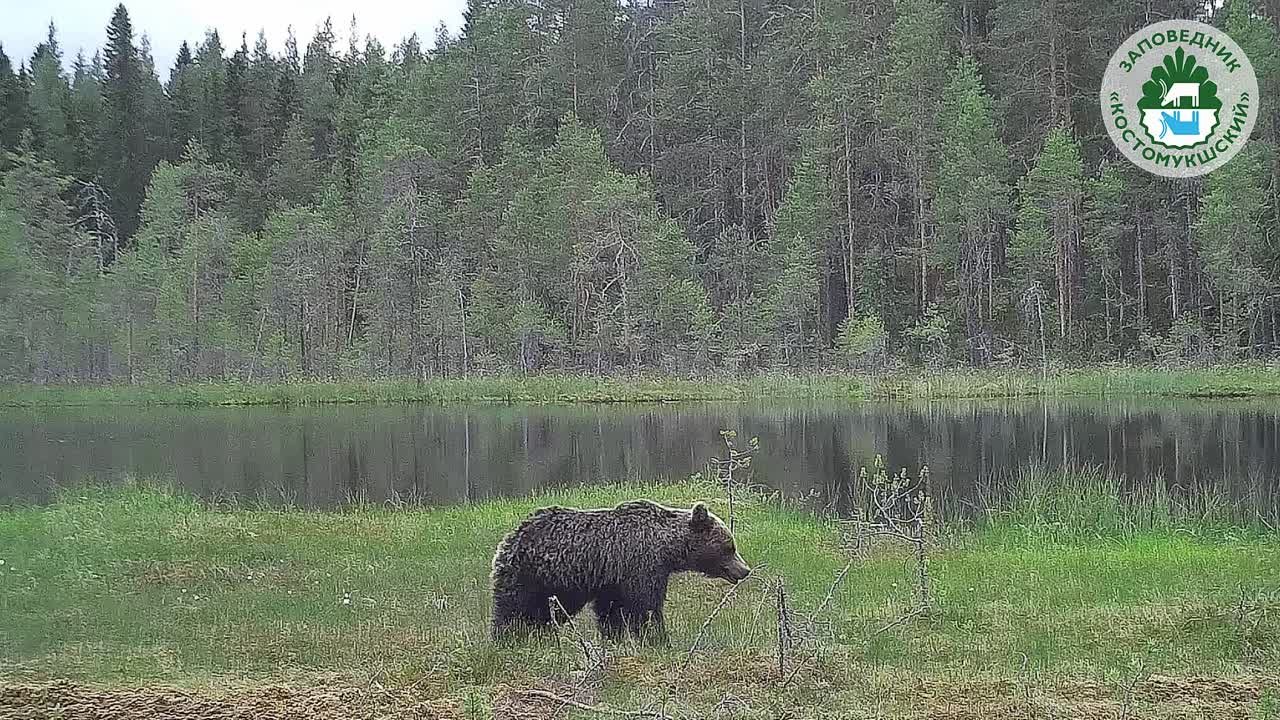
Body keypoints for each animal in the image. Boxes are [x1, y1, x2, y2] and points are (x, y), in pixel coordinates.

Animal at [488, 499, 747, 638]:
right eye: (730, 546)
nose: (744, 570)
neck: (668, 548)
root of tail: (508, 539)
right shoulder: (642, 565)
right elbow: (645, 606)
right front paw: (658, 637)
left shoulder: (613, 579)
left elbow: (612, 611)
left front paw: (615, 637)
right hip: (532, 576)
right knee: (516, 610)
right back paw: (509, 637)